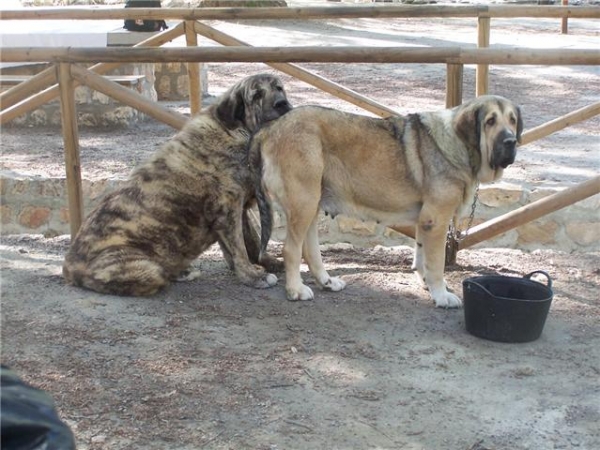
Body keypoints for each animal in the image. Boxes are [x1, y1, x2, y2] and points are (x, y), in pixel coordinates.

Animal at [63, 73, 292, 298]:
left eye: (279, 88)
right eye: (257, 95)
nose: (282, 104)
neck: (236, 131)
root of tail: (68, 268)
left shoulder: (240, 208)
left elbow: (252, 241)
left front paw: (267, 263)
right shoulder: (228, 209)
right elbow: (240, 247)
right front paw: (253, 276)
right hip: (144, 269)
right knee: (149, 279)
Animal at [251, 94, 524, 306]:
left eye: (512, 120)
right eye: (490, 121)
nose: (511, 141)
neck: (460, 145)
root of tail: (270, 128)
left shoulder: (425, 220)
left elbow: (422, 255)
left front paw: (425, 283)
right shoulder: (436, 220)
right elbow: (436, 264)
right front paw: (441, 295)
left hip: (312, 201)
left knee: (308, 248)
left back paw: (326, 282)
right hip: (304, 200)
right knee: (291, 249)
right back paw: (296, 290)